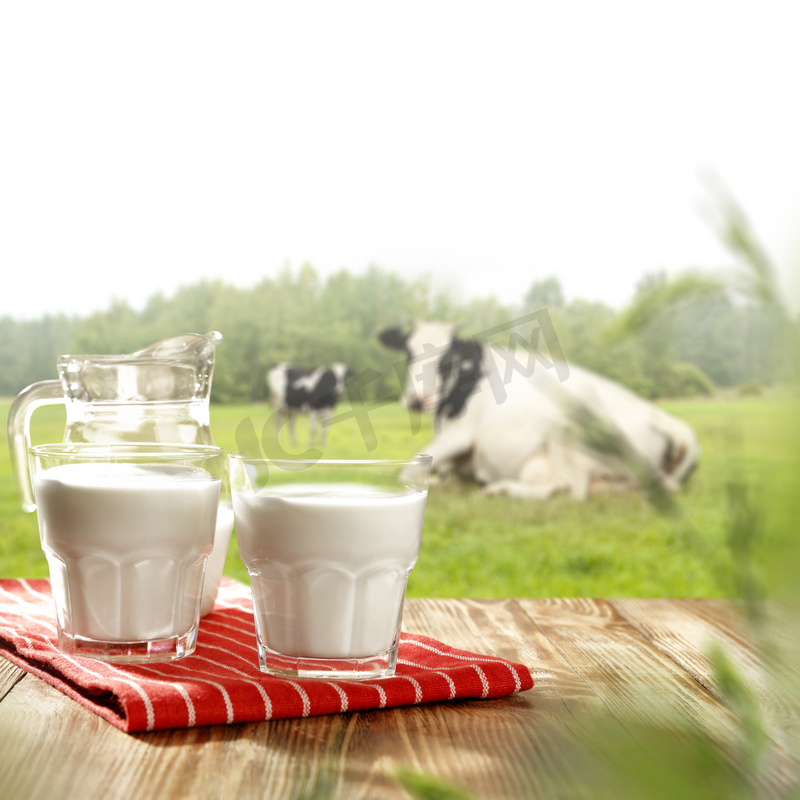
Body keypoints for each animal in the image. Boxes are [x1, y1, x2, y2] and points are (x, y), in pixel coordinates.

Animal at [378, 320, 696, 500]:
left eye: (448, 359)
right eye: (408, 353)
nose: (417, 400)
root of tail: (664, 418)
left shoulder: (461, 434)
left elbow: (405, 472)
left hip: (565, 430)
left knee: (570, 490)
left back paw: (500, 489)